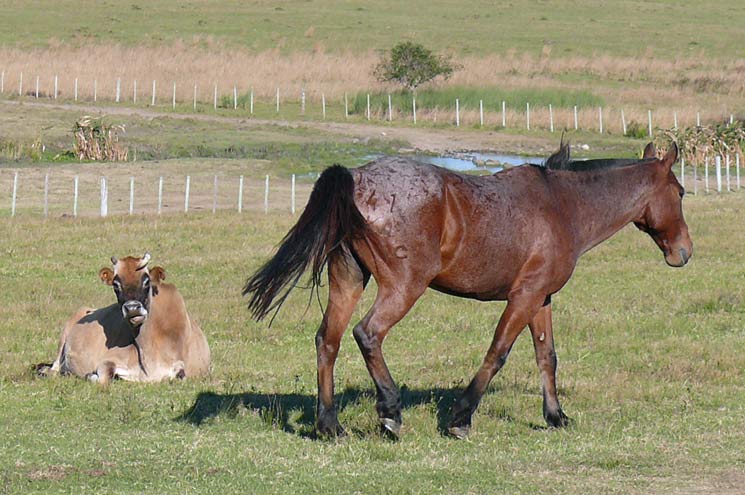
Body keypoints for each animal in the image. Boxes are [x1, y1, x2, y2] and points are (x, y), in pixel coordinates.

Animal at [39, 254, 211, 386]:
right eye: (116, 284)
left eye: (146, 281)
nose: (132, 308)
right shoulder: (109, 360)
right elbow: (104, 376)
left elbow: (181, 375)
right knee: (53, 369)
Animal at [244, 141, 692, 440]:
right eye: (681, 192)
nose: (684, 252)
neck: (562, 205)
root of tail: (356, 178)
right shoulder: (523, 298)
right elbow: (497, 354)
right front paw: (460, 418)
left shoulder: (541, 299)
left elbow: (546, 357)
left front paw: (556, 416)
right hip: (403, 287)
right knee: (366, 334)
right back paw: (390, 411)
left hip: (350, 278)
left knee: (328, 340)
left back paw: (330, 425)